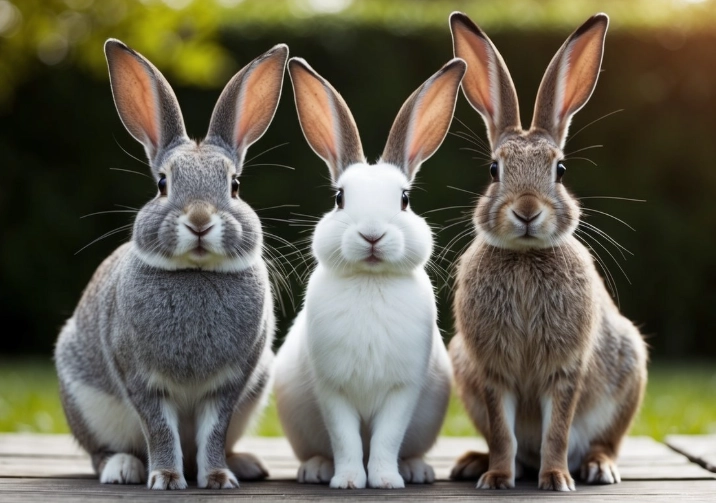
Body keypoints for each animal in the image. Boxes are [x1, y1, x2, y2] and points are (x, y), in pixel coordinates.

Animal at [53, 39, 288, 490]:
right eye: (162, 183)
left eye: (235, 185)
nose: (199, 221)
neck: (195, 274)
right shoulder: (140, 379)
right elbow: (159, 429)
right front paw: (164, 477)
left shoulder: (230, 385)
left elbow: (214, 432)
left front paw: (217, 478)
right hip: (85, 401)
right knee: (100, 452)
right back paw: (123, 468)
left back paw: (243, 464)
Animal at [272, 56, 466, 489]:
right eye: (339, 198)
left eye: (405, 199)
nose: (372, 234)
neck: (370, 280)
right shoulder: (333, 390)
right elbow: (345, 438)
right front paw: (347, 480)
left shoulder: (402, 390)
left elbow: (385, 439)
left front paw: (385, 480)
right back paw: (316, 470)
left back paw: (415, 470)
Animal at [446, 12, 648, 491]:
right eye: (493, 169)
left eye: (560, 169)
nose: (526, 211)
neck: (524, 257)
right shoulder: (491, 371)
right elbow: (502, 432)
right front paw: (497, 478)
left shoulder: (565, 369)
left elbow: (557, 429)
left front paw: (555, 479)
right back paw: (475, 463)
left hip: (629, 366)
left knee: (603, 442)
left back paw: (597, 467)